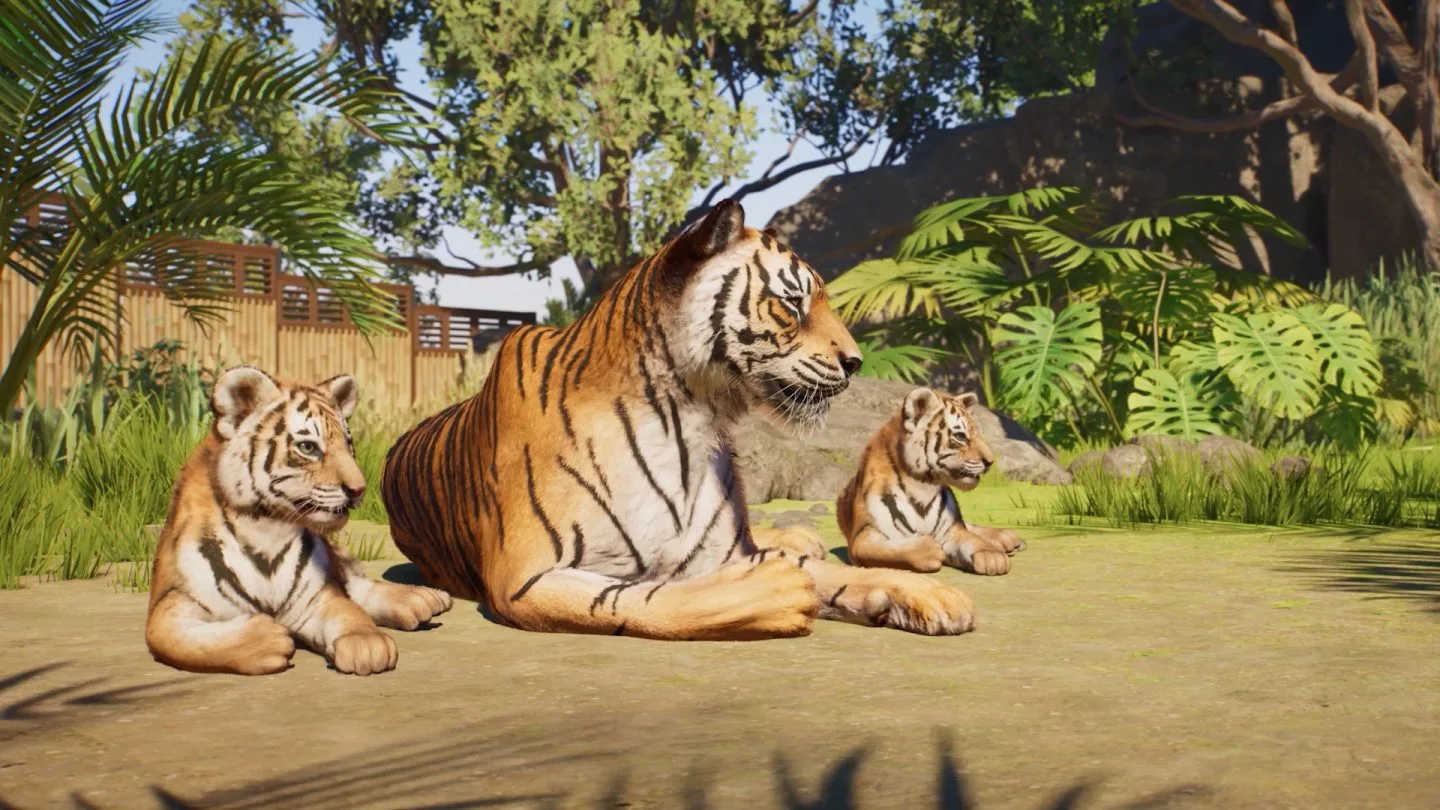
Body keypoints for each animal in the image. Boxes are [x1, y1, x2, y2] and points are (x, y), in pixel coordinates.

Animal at [144, 366, 452, 676]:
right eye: (308, 447)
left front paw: (367, 644)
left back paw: (423, 600)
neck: (265, 531)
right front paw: (268, 638)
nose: (359, 489)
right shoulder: (171, 603)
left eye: (348, 444)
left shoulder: (317, 596)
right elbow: (182, 641)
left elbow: (348, 611)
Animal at [381, 199, 978, 640]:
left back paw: (797, 537)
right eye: (792, 304)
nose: (855, 363)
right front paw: (777, 591)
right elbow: (646, 601)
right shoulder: (525, 578)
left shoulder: (723, 547)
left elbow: (838, 573)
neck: (679, 415)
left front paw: (933, 595)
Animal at [836, 387, 1027, 576]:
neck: (921, 487)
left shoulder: (951, 530)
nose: (990, 461)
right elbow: (890, 550)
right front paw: (929, 548)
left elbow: (971, 539)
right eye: (960, 436)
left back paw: (1007, 538)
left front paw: (992, 556)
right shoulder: (864, 535)